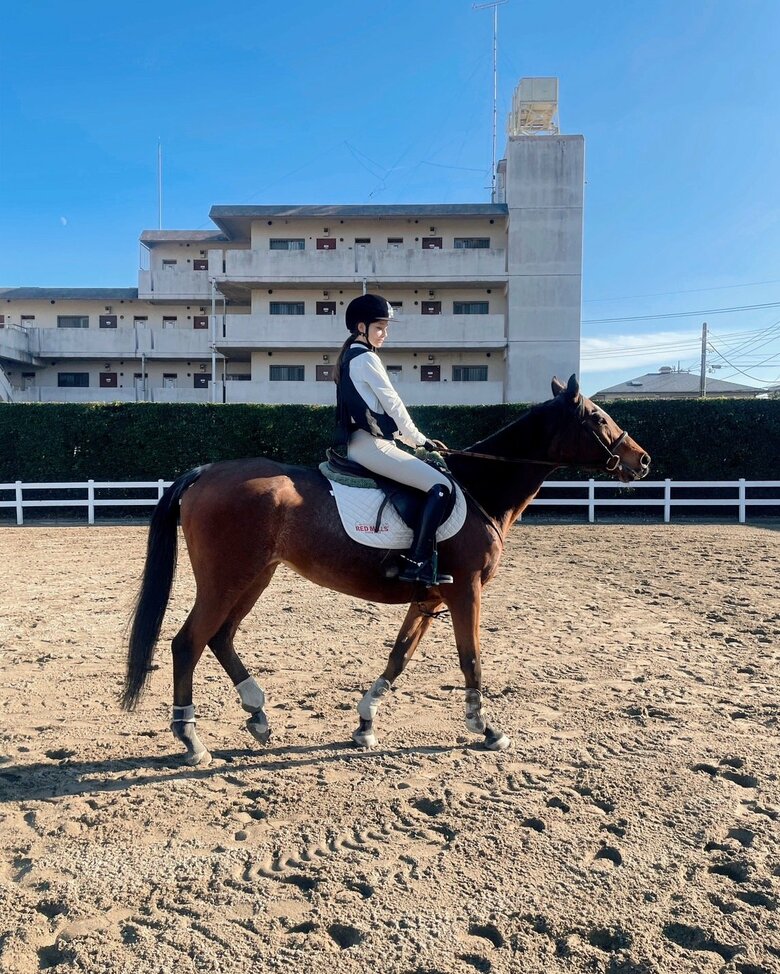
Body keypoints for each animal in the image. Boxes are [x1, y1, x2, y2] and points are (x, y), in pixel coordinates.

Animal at [122, 375, 650, 766]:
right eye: (598, 418)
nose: (642, 461)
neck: (481, 486)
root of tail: (205, 471)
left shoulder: (430, 596)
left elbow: (399, 657)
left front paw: (365, 723)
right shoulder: (466, 592)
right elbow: (471, 658)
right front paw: (486, 729)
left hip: (255, 577)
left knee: (220, 637)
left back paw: (258, 714)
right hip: (227, 578)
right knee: (188, 642)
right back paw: (192, 741)